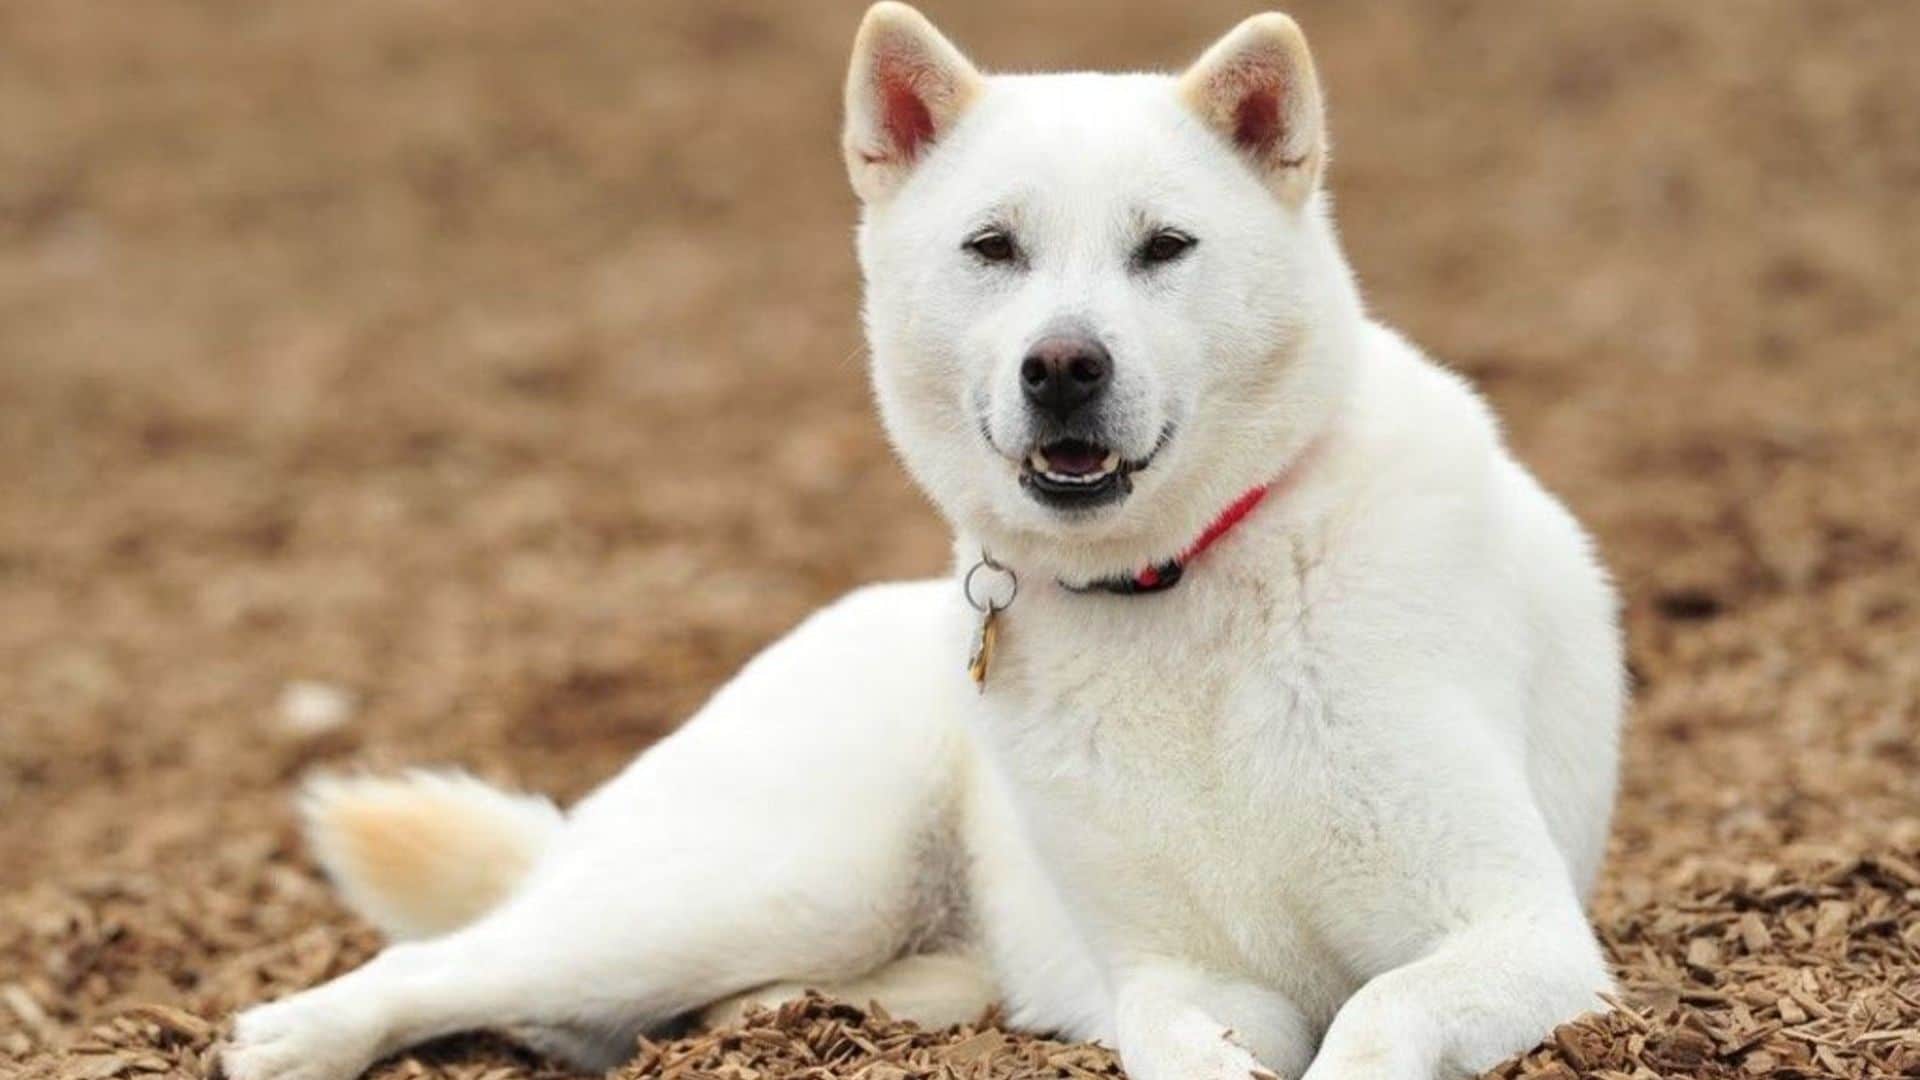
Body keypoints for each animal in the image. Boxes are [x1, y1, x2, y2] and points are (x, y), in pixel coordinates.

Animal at [228, 4, 1635, 1068]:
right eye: (993, 247)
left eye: (1166, 247)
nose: (1062, 367)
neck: (1183, 583)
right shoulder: (1183, 978)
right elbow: (1178, 1039)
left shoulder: (1518, 932)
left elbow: (1378, 1015)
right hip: (770, 878)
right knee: (461, 962)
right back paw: (298, 1034)